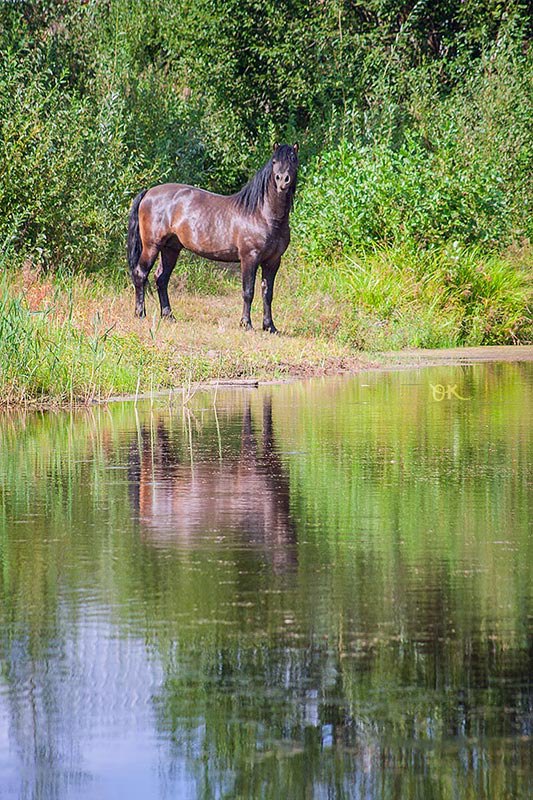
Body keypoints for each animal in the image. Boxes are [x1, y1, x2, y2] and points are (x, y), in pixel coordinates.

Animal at [127, 143, 298, 332]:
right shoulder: (249, 258)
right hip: (152, 246)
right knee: (140, 274)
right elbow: (248, 292)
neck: (263, 215)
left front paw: (270, 327)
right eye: (274, 161)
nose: (282, 180)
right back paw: (140, 314)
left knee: (161, 278)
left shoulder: (273, 261)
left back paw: (169, 316)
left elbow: (267, 294)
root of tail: (149, 192)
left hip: (170, 249)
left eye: (293, 159)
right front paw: (246, 324)